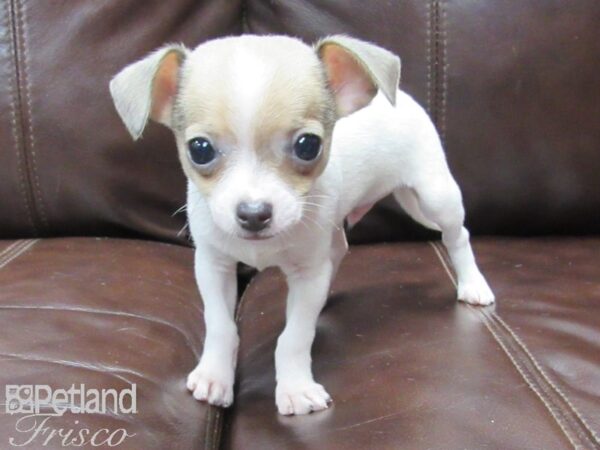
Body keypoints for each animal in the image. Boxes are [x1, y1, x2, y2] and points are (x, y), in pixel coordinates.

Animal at [110, 34, 494, 414]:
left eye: (308, 146)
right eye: (199, 149)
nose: (253, 212)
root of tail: (400, 97)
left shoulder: (307, 273)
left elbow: (294, 336)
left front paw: (295, 389)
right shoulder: (213, 265)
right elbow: (219, 325)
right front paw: (214, 376)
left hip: (434, 195)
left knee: (457, 236)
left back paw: (473, 284)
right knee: (339, 249)